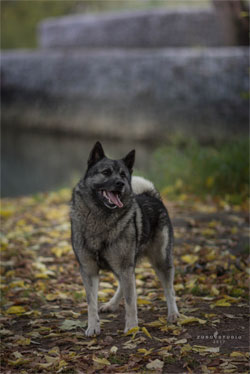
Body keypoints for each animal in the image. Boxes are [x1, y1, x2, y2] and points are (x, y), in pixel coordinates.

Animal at [70, 142, 179, 336]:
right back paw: (112, 304)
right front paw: (93, 326)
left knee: (169, 289)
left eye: (123, 175)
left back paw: (173, 314)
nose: (120, 183)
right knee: (123, 284)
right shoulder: (89, 270)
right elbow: (91, 303)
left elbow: (131, 300)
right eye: (106, 172)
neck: (100, 217)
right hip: (121, 265)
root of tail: (152, 196)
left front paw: (132, 327)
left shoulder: (124, 266)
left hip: (160, 260)